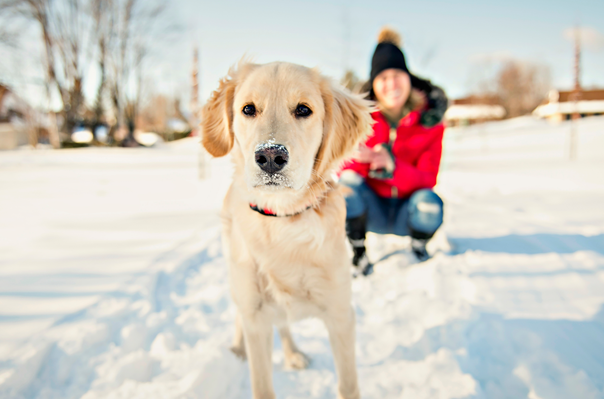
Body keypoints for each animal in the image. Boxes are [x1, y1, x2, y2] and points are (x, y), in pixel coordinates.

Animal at [203, 61, 372, 399]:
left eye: (304, 109)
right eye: (248, 109)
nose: (270, 156)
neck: (282, 220)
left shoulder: (340, 314)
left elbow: (348, 385)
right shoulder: (256, 316)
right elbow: (262, 385)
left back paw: (293, 354)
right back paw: (238, 349)